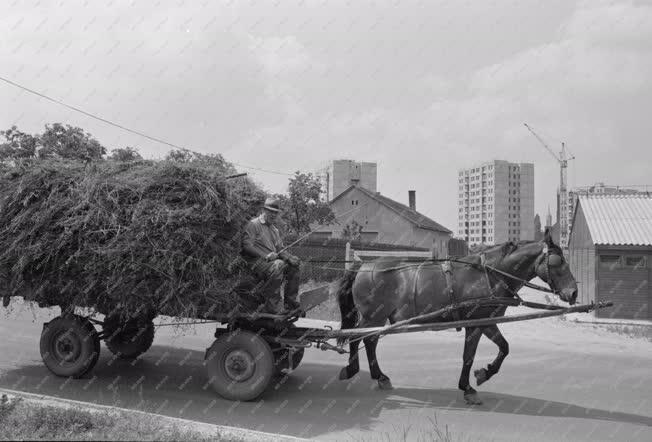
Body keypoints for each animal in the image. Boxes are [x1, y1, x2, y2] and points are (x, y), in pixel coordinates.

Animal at [336, 228, 576, 404]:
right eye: (558, 262)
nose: (574, 292)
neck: (490, 274)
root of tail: (363, 265)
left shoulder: (487, 322)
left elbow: (504, 348)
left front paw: (484, 373)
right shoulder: (476, 324)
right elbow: (469, 356)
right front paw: (468, 387)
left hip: (376, 318)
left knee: (369, 341)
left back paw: (378, 376)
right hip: (372, 316)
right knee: (358, 338)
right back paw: (356, 370)